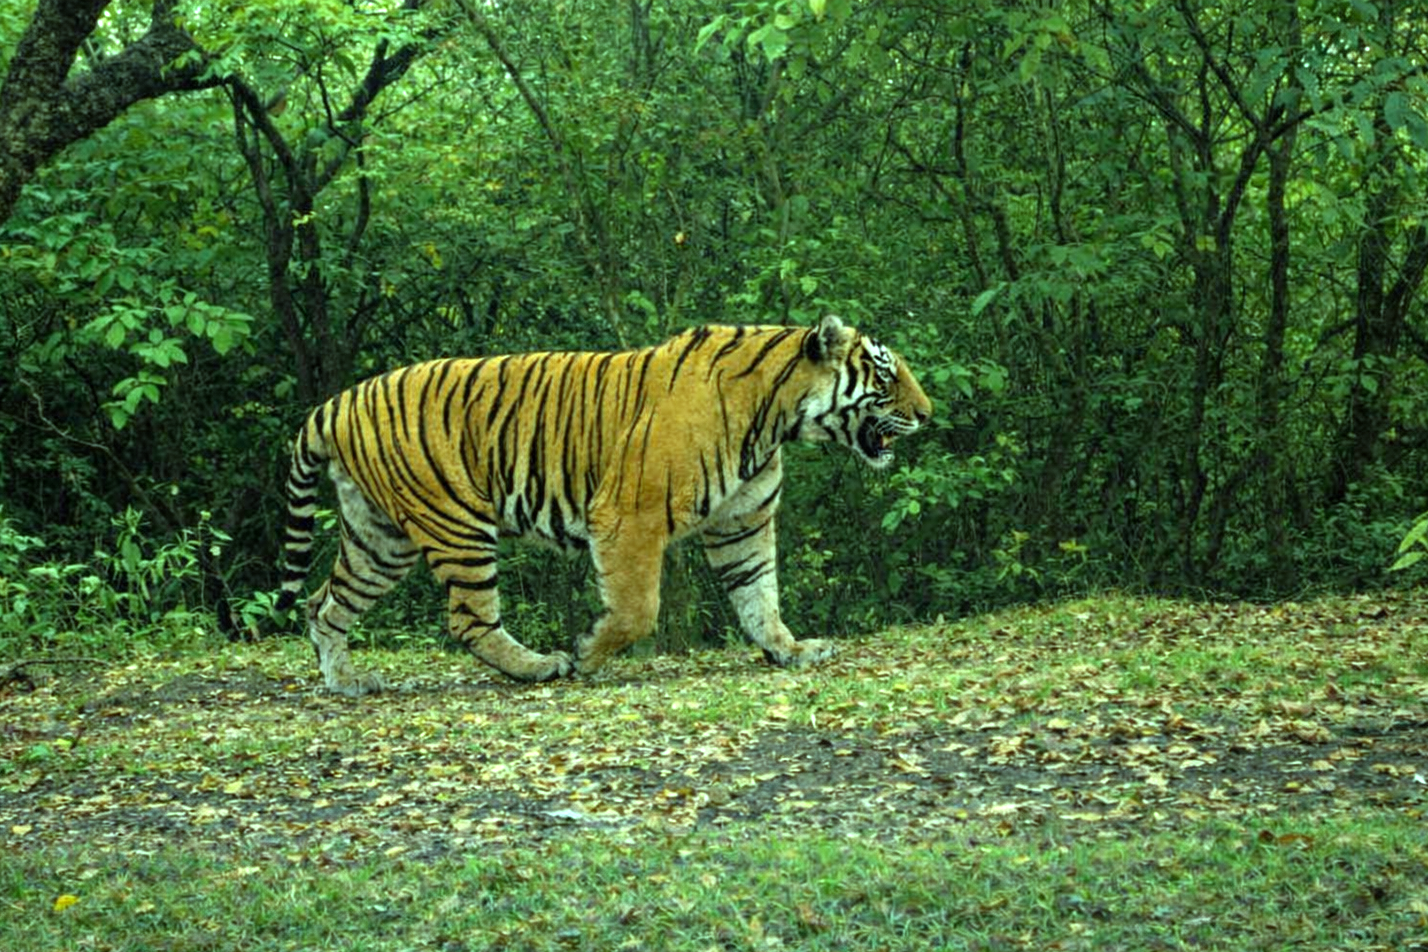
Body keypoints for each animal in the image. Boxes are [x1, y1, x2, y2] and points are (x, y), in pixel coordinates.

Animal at [271, 315, 931, 696]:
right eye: (885, 375)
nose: (928, 414)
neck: (776, 419)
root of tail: (335, 401)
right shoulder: (627, 515)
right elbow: (638, 608)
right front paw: (588, 653)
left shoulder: (741, 522)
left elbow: (759, 594)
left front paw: (789, 650)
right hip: (454, 523)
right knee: (468, 618)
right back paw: (540, 666)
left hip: (379, 538)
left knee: (323, 603)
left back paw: (345, 681)